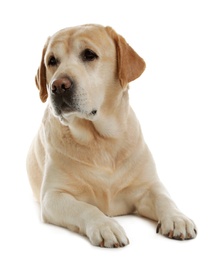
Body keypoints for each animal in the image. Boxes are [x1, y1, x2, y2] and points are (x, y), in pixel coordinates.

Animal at [26, 23, 198, 247]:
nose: (58, 86)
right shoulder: (53, 196)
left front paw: (178, 219)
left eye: (89, 54)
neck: (101, 140)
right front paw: (105, 226)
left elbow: (164, 198)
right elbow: (85, 207)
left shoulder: (147, 187)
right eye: (52, 61)